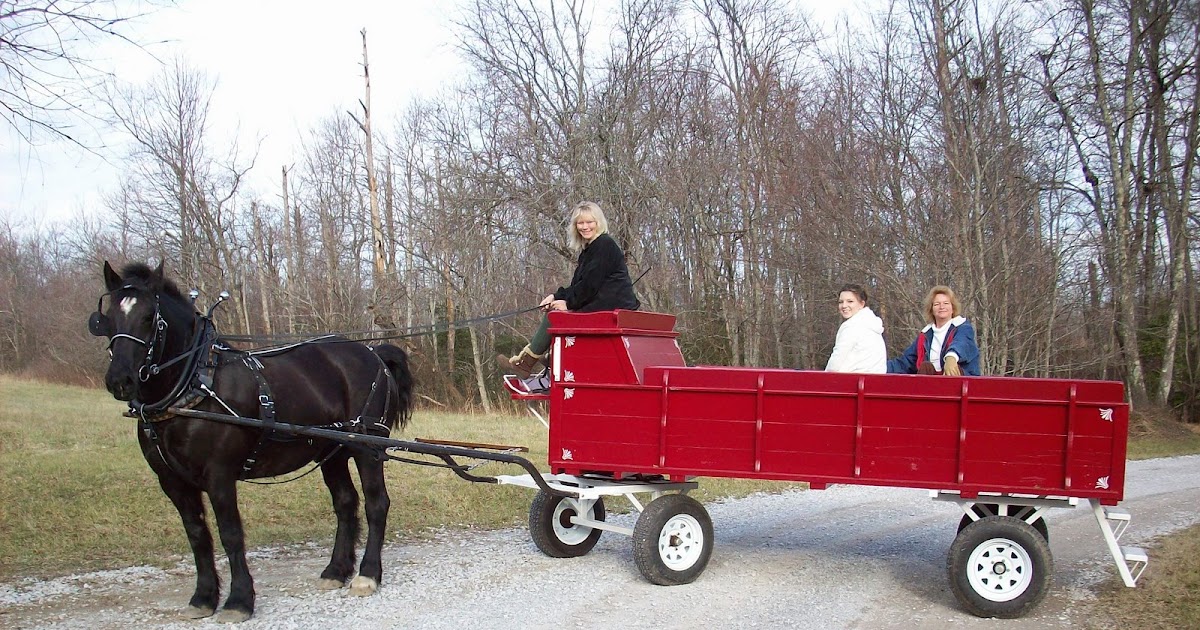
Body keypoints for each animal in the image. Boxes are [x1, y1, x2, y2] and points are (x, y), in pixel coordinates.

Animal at [89, 261, 414, 622]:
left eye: (150, 317)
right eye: (108, 317)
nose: (120, 380)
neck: (194, 386)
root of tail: (373, 352)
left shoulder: (219, 475)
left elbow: (231, 534)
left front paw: (238, 601)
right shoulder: (172, 482)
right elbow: (197, 536)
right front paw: (203, 598)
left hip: (368, 447)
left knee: (376, 503)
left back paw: (367, 574)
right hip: (332, 452)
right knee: (345, 503)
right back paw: (335, 571)